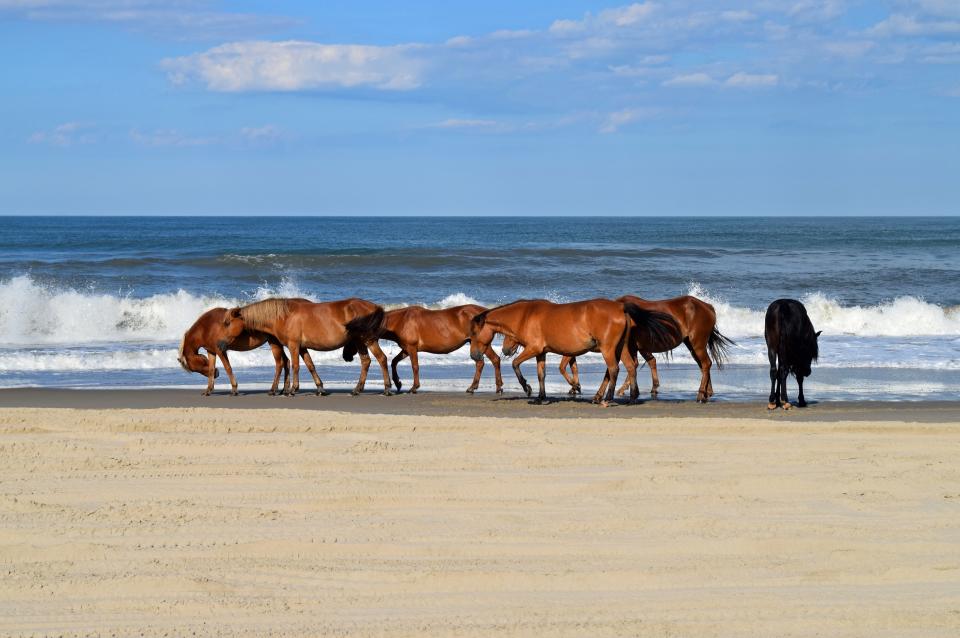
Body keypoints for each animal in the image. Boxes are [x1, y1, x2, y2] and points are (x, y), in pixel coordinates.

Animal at [223, 298, 392, 398]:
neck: (285, 316)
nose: (222, 344)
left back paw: (387, 389)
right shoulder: (303, 348)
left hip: (368, 340)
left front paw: (293, 389)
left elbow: (296, 366)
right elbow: (310, 365)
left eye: (227, 323)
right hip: (360, 341)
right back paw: (357, 389)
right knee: (366, 362)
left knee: (381, 359)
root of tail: (374, 307)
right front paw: (320, 388)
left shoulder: (294, 345)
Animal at [378, 304, 506, 396]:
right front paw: (398, 383)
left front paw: (414, 387)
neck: (402, 320)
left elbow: (415, 367)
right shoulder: (406, 349)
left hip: (483, 344)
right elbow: (394, 362)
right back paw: (483, 387)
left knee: (490, 361)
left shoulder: (412, 348)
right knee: (487, 361)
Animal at [470, 298, 676, 408]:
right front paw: (540, 398)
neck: (526, 315)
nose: (474, 356)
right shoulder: (541, 352)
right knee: (630, 367)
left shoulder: (533, 349)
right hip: (621, 348)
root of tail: (621, 307)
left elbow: (515, 364)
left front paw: (527, 388)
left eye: (473, 333)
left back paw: (607, 399)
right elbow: (541, 374)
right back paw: (631, 398)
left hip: (608, 348)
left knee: (614, 370)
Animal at [510, 296, 736, 404]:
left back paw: (700, 395)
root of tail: (708, 306)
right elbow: (622, 369)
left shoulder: (625, 348)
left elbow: (624, 368)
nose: (506, 349)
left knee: (705, 364)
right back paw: (706, 393)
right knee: (704, 365)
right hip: (692, 344)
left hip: (696, 343)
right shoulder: (626, 348)